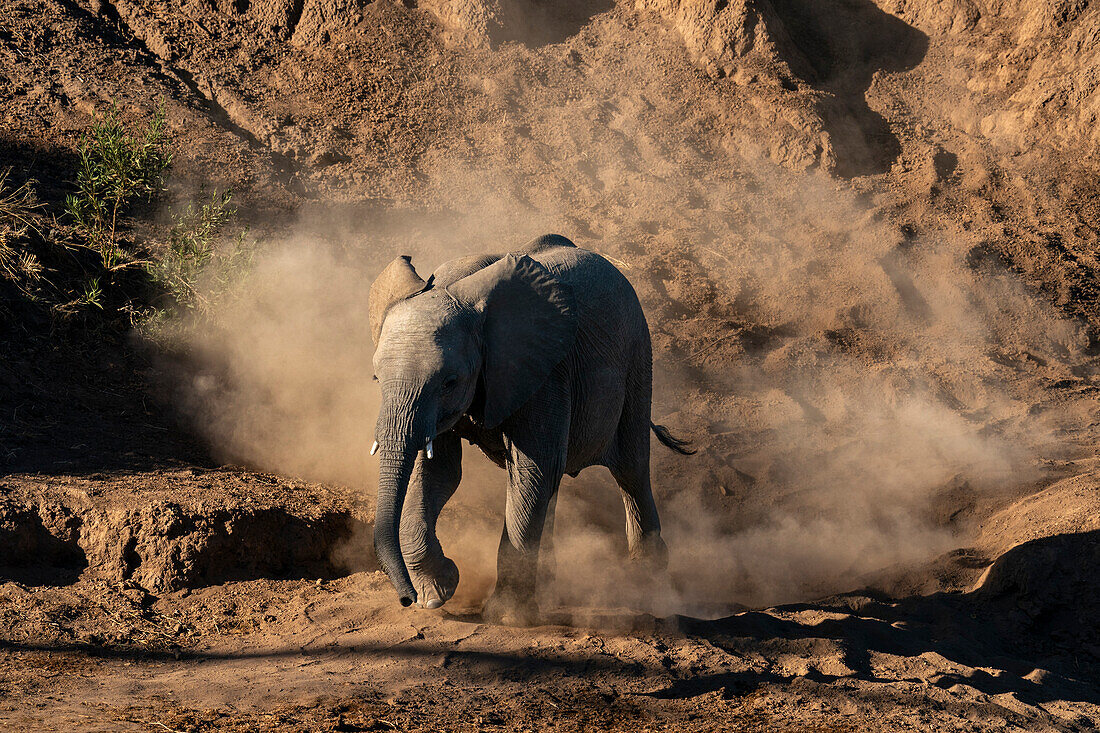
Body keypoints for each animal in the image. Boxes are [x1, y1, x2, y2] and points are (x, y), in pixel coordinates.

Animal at [369, 231, 695, 620]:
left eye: (450, 382)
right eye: (376, 378)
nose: (405, 599)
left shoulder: (545, 372)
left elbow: (532, 471)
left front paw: (506, 616)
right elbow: (439, 472)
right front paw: (437, 593)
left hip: (638, 354)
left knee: (630, 467)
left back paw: (646, 580)